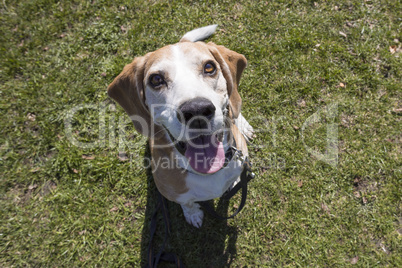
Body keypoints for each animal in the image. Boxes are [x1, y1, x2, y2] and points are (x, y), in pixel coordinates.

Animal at [108, 25, 253, 227]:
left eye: (209, 67)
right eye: (156, 79)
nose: (197, 110)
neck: (207, 172)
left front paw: (234, 182)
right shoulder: (174, 194)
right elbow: (188, 203)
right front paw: (192, 214)